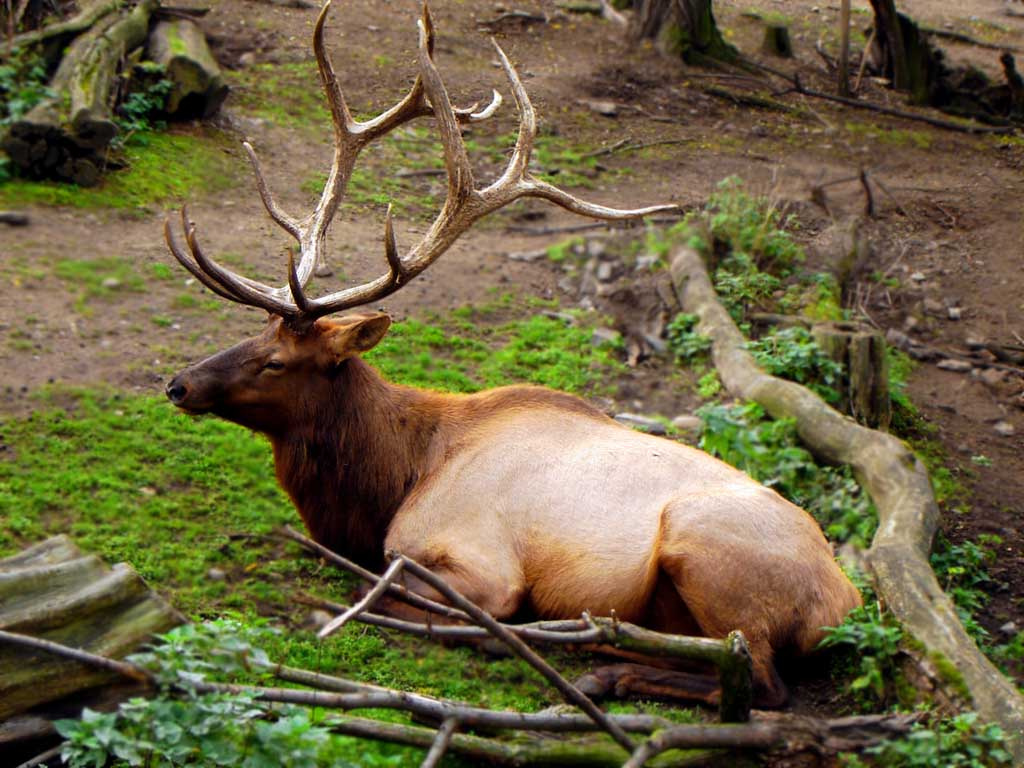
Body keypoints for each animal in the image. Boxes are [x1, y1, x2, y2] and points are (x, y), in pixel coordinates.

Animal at [164, 0, 862, 707]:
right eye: (253, 334)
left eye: (277, 361)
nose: (180, 384)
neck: (396, 474)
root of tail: (841, 605)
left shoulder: (477, 564)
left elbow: (390, 596)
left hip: (701, 547)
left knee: (760, 679)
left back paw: (600, 658)